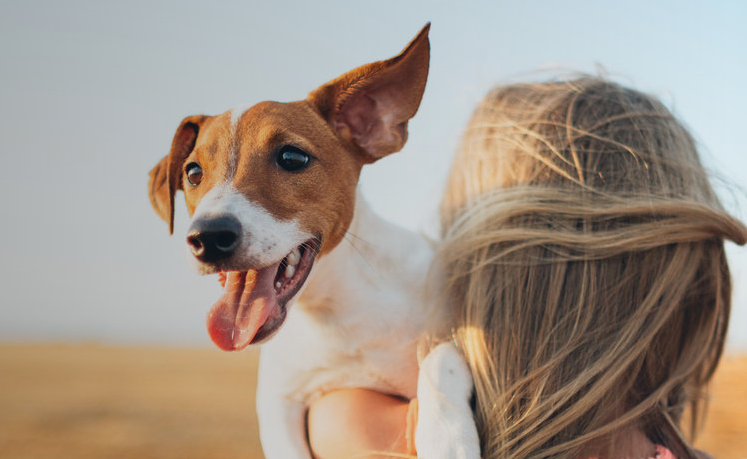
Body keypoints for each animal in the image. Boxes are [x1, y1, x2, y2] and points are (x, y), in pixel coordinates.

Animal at [149, 25, 482, 459]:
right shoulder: (279, 399)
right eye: (192, 172)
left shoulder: (450, 327)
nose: (208, 236)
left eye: (292, 157)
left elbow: (440, 359)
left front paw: (447, 438)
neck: (335, 313)